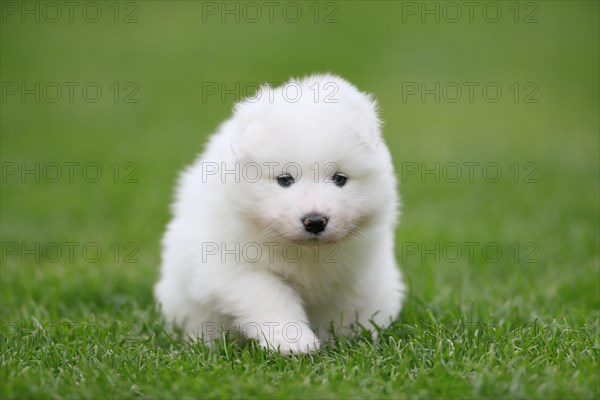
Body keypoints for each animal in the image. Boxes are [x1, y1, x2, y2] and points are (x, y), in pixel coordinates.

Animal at [155, 74, 408, 354]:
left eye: (339, 178)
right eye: (285, 179)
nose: (315, 221)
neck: (304, 252)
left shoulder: (352, 274)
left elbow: (339, 311)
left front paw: (341, 343)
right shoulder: (232, 266)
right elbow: (270, 297)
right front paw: (293, 341)